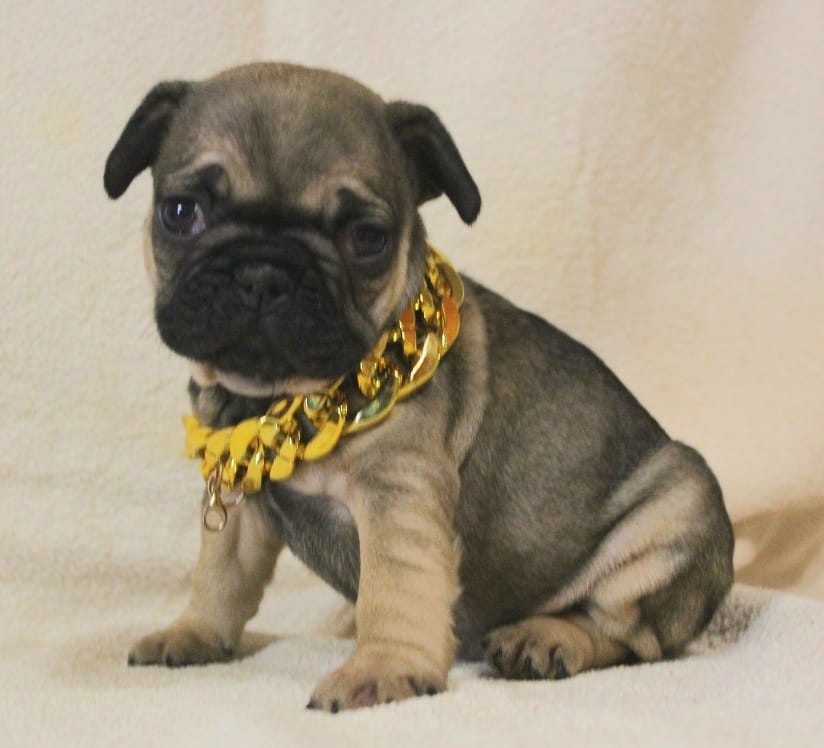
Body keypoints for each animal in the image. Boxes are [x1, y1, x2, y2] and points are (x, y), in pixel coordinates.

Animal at [104, 62, 734, 712]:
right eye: (181, 212)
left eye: (366, 238)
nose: (262, 271)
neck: (276, 399)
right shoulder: (236, 498)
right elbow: (220, 575)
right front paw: (194, 632)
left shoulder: (396, 490)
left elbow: (394, 587)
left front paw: (384, 667)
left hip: (676, 518)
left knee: (628, 636)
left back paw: (546, 638)